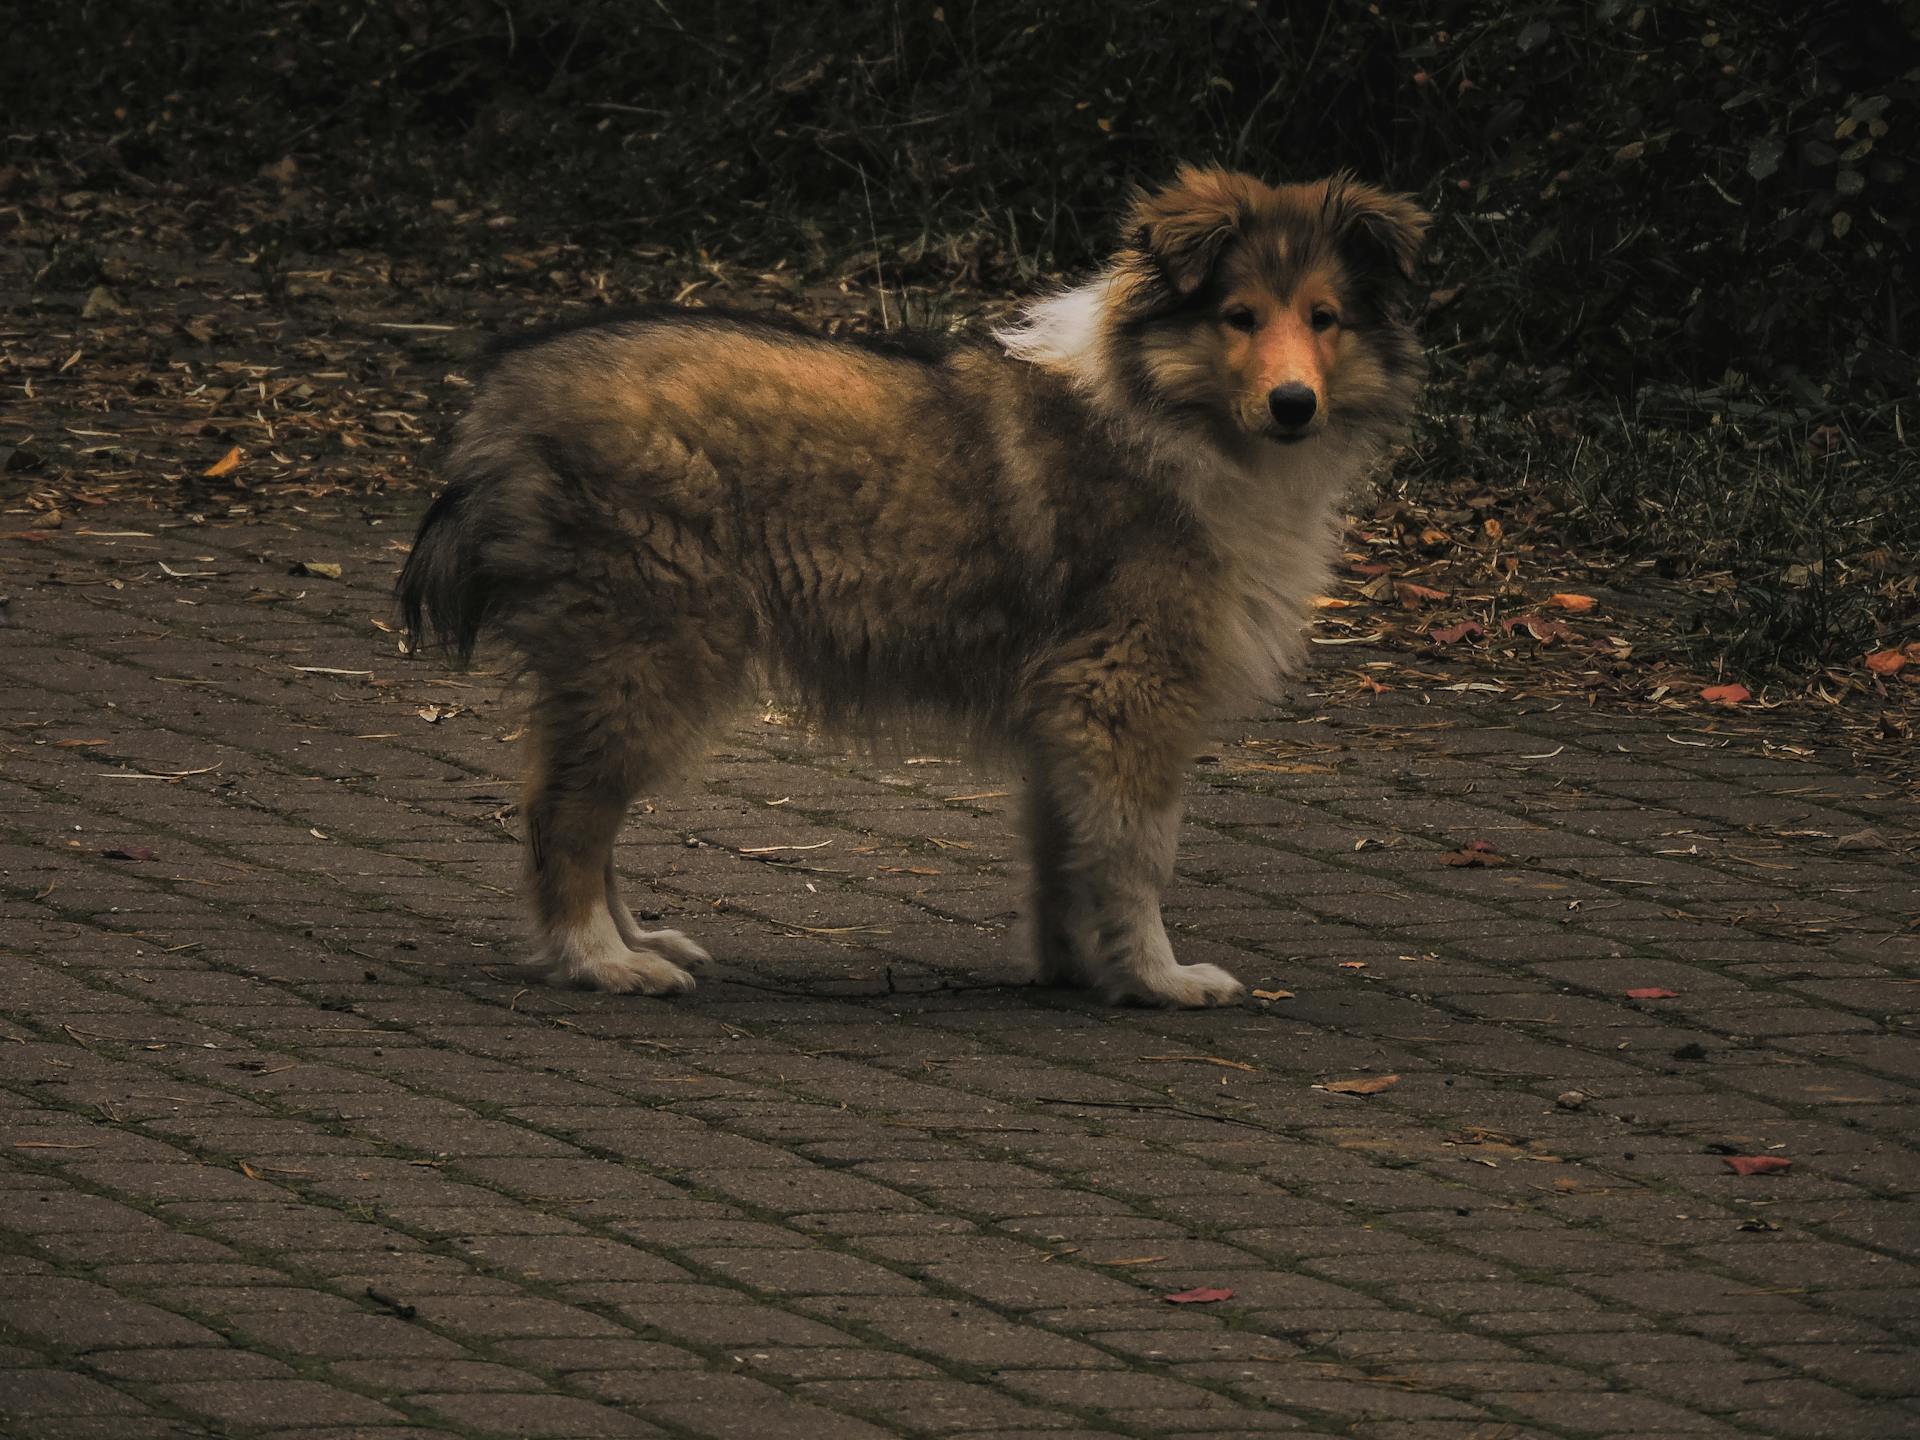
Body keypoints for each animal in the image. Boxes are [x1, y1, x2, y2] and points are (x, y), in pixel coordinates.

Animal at [401, 166, 1428, 1006]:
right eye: (1239, 316)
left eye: (1324, 318)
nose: (1293, 405)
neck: (1163, 406)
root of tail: (504, 397)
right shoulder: (1122, 689)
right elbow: (1138, 853)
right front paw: (1155, 977)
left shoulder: (1064, 705)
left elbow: (1067, 850)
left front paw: (1078, 966)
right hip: (653, 651)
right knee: (562, 813)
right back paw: (600, 961)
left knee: (582, 809)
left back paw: (634, 941)